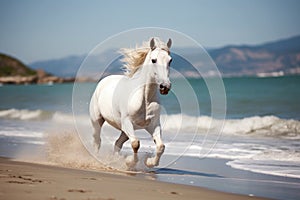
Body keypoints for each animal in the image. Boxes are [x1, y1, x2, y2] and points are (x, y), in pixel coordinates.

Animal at [89, 37, 172, 167]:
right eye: (154, 60)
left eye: (170, 60)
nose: (165, 87)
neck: (144, 99)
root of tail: (103, 81)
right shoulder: (127, 122)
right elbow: (136, 144)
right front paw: (130, 162)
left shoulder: (153, 125)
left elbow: (160, 146)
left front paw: (149, 162)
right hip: (97, 120)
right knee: (97, 141)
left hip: (124, 130)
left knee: (117, 143)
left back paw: (115, 160)